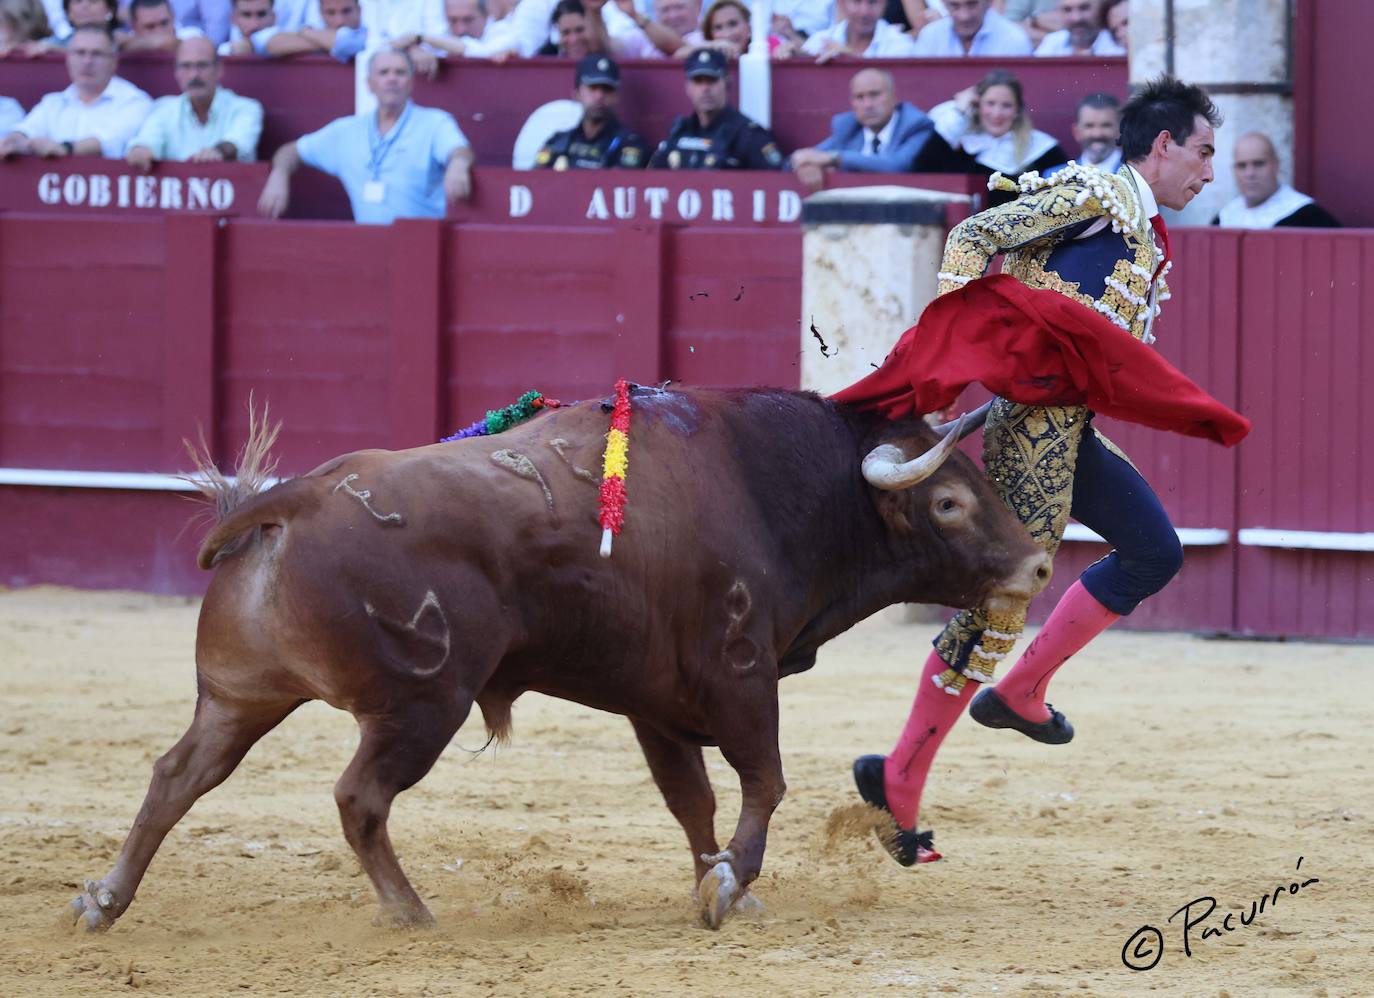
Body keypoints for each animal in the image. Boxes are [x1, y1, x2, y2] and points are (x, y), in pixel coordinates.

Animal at [66, 387, 1049, 934]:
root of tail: (294, 500)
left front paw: (719, 884)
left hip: (240, 697)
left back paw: (104, 900)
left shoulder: (659, 703)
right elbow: (763, 783)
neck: (771, 487)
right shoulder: (739, 676)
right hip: (422, 706)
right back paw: (411, 914)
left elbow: (692, 802)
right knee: (359, 799)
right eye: (951, 502)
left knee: (177, 777)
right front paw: (731, 886)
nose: (1038, 566)